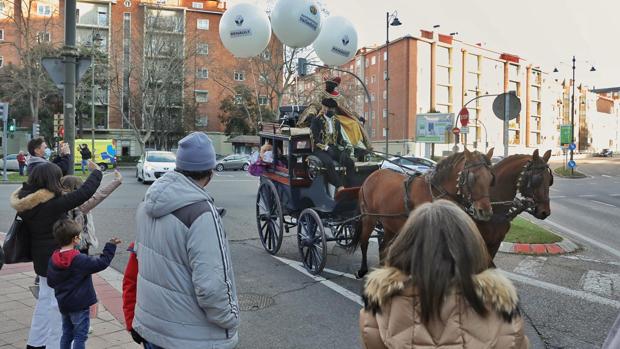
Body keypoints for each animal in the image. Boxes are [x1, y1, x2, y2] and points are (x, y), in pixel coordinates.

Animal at [352, 147, 496, 278]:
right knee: (364, 242)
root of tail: (372, 176)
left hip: (389, 224)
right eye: (472, 178)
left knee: (383, 248)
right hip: (369, 218)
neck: (436, 193)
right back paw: (362, 270)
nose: (485, 212)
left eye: (490, 178)